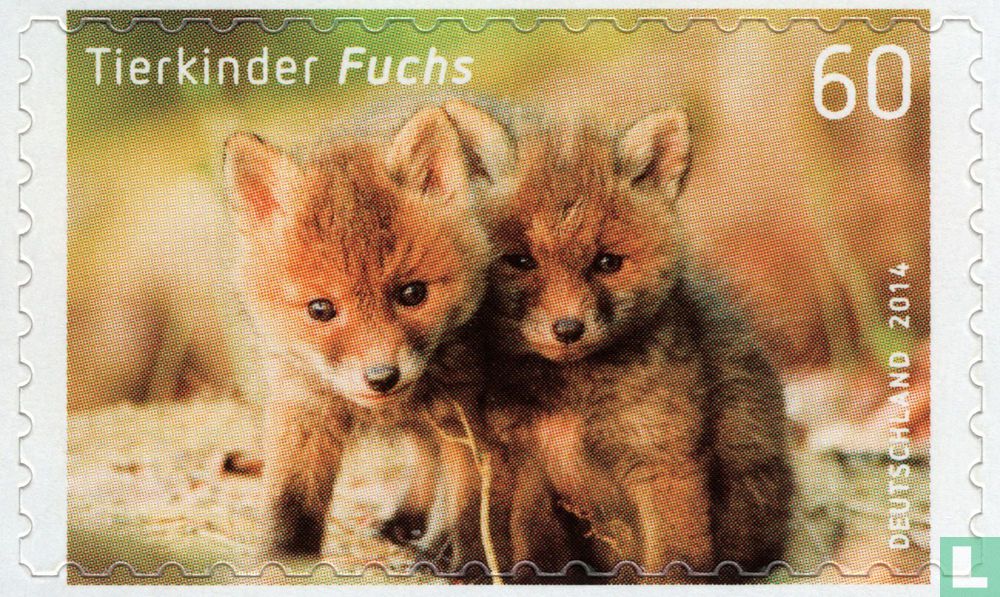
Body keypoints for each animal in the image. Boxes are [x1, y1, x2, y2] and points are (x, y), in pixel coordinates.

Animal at [224, 106, 508, 570]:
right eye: (320, 309)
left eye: (412, 293)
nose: (381, 377)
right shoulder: (302, 406)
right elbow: (290, 503)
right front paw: (283, 561)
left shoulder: (465, 410)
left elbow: (470, 503)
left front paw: (473, 566)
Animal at [442, 98, 793, 582]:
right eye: (521, 261)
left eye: (608, 263)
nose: (567, 329)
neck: (571, 404)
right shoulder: (529, 467)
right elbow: (537, 558)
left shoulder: (663, 463)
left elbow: (673, 564)